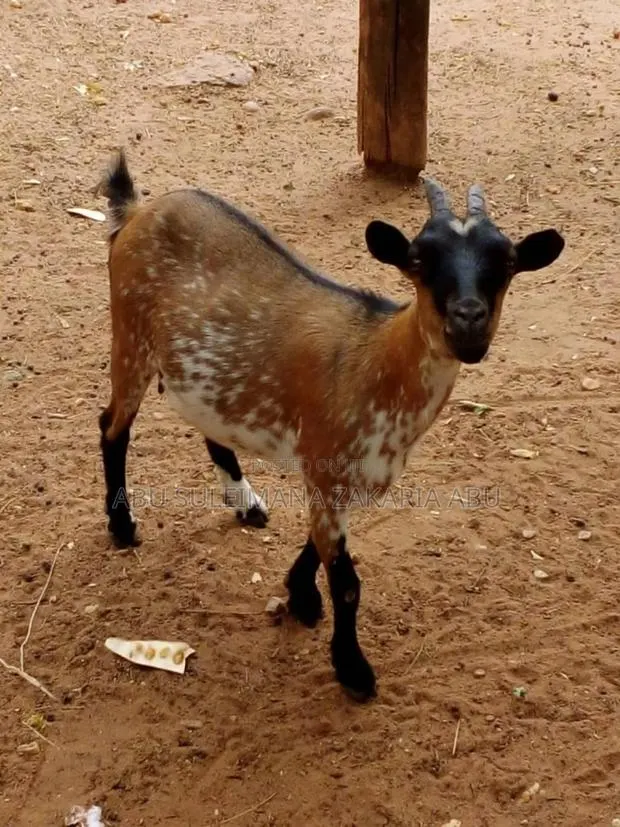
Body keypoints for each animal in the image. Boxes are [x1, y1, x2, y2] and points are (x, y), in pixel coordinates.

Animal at [96, 149, 565, 701]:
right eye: (419, 260)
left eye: (508, 262)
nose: (467, 321)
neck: (376, 363)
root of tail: (137, 211)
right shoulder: (325, 462)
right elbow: (347, 583)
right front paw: (352, 668)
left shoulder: (347, 476)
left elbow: (318, 548)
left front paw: (300, 597)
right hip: (129, 338)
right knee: (112, 427)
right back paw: (123, 526)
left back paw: (245, 503)